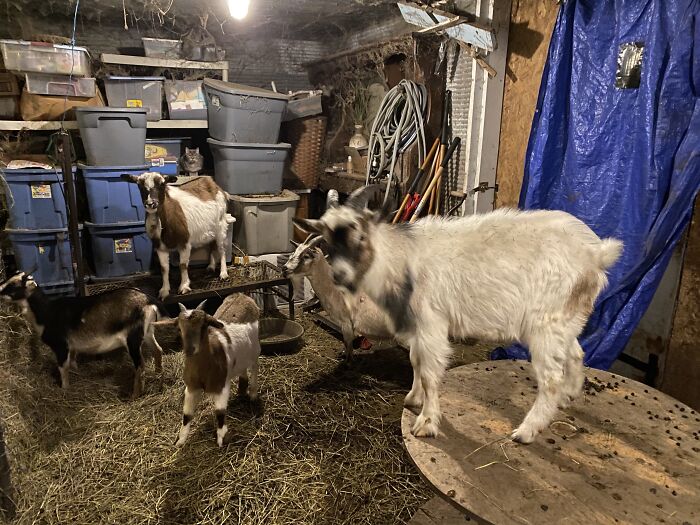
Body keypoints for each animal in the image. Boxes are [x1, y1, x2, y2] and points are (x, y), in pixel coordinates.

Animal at [0, 272, 165, 399]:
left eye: (13, 284)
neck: (46, 313)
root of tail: (147, 300)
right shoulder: (72, 346)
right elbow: (72, 361)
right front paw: (76, 372)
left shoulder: (61, 346)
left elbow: (63, 367)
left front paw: (64, 388)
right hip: (148, 331)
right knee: (158, 350)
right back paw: (158, 374)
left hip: (133, 338)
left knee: (140, 365)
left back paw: (135, 395)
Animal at [155, 301, 260, 447]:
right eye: (179, 328)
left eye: (203, 326)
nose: (189, 349)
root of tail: (242, 297)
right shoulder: (191, 387)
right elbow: (187, 414)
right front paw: (180, 440)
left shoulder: (222, 386)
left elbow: (220, 412)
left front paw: (222, 438)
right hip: (241, 356)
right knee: (243, 369)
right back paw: (241, 390)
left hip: (255, 349)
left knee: (255, 367)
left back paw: (253, 394)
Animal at [293, 186, 623, 443]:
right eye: (324, 237)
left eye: (360, 235)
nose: (340, 275)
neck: (397, 258)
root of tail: (597, 255)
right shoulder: (416, 328)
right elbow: (416, 361)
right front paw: (413, 399)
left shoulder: (431, 324)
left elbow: (429, 373)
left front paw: (426, 423)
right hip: (567, 319)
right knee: (577, 353)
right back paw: (568, 397)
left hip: (545, 324)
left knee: (551, 377)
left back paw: (526, 431)